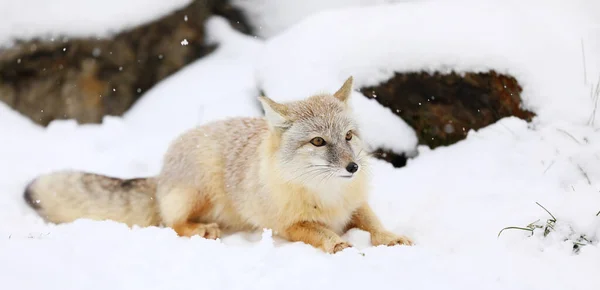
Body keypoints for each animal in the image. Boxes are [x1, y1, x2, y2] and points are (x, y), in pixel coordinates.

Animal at [25, 77, 414, 254]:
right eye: (318, 142)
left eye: (348, 137)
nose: (353, 168)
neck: (327, 196)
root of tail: (162, 172)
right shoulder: (290, 225)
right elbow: (322, 233)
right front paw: (339, 246)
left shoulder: (356, 204)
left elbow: (374, 222)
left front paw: (389, 237)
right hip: (201, 190)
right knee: (173, 224)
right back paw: (202, 230)